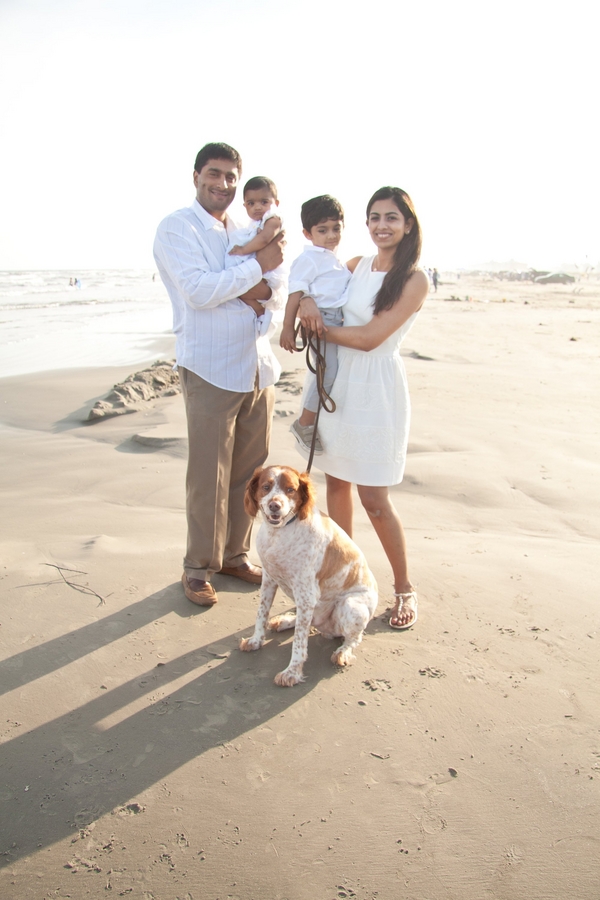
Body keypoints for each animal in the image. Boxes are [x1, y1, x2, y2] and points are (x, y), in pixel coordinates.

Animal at [238, 468, 376, 684]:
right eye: (266, 486)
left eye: (290, 490)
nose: (275, 505)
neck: (280, 532)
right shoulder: (268, 579)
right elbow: (261, 613)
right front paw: (255, 640)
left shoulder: (306, 593)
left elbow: (299, 641)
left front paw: (292, 672)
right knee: (307, 621)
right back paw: (284, 621)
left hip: (350, 605)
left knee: (354, 638)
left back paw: (343, 652)